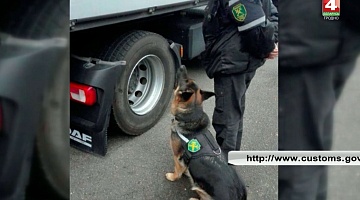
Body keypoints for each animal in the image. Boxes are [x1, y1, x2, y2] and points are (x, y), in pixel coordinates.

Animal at [166, 65, 248, 199]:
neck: (191, 115)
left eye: (185, 80)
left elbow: (177, 170)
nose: (182, 66)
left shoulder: (176, 156)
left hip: (199, 188)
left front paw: (172, 176)